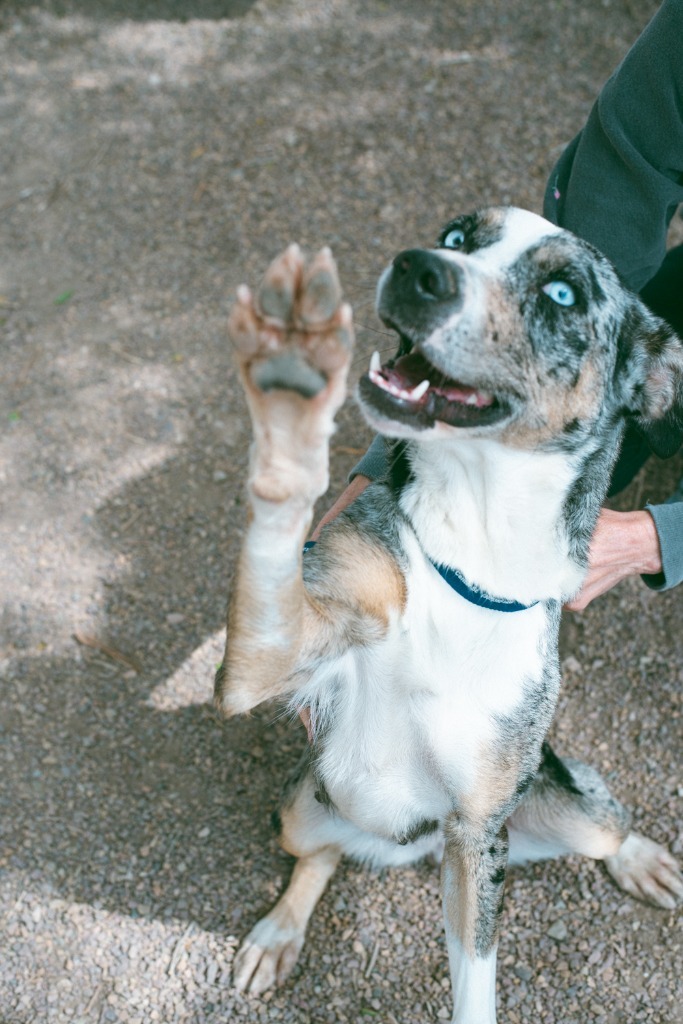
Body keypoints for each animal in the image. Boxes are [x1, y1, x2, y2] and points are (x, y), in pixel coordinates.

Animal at [216, 203, 683, 1019]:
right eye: (459, 236)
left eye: (562, 293)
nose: (418, 267)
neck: (469, 552)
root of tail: (409, 848)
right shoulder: (264, 660)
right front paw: (289, 405)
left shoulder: (477, 836)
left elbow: (476, 986)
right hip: (301, 810)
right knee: (319, 855)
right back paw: (278, 935)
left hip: (553, 816)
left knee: (605, 825)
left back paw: (641, 857)